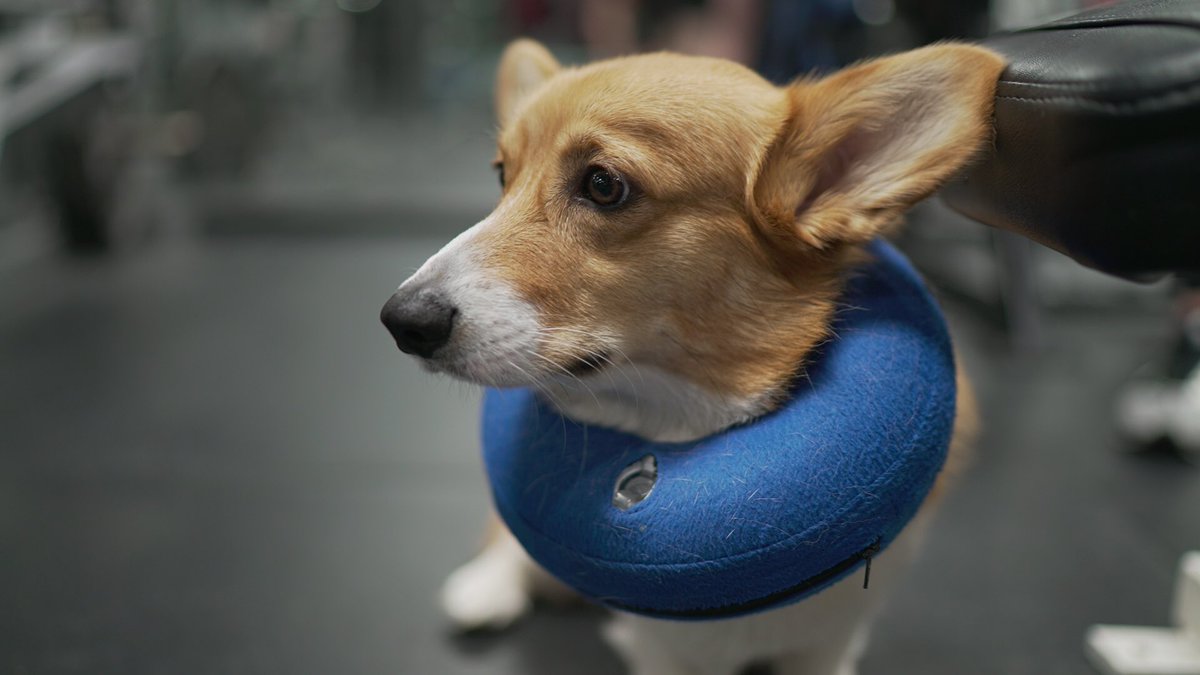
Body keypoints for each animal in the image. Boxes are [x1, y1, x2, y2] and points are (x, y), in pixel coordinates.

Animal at [381, 38, 1003, 672]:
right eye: (504, 174)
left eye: (603, 185)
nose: (402, 321)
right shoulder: (666, 655)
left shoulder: (825, 645)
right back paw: (486, 586)